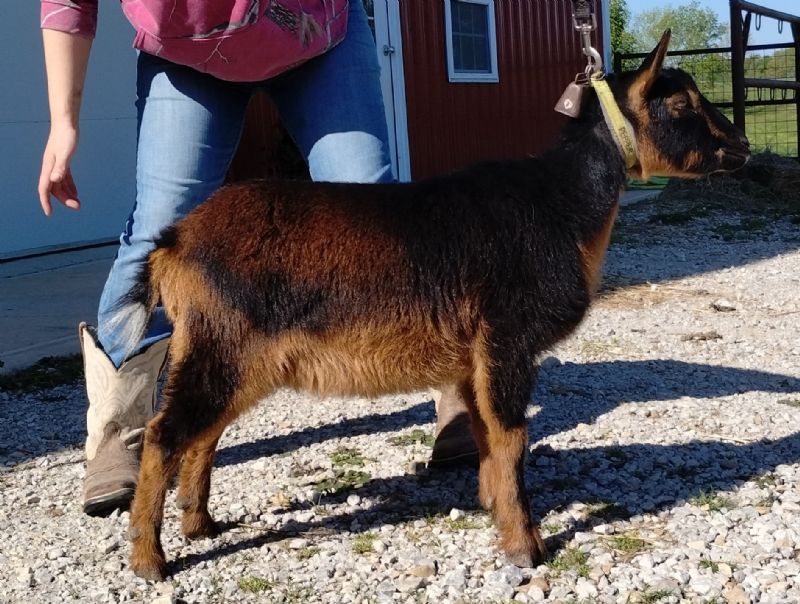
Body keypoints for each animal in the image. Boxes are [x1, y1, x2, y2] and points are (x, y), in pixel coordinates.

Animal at [119, 31, 750, 580]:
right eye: (682, 104)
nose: (743, 147)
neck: (561, 204)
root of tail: (175, 242)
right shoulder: (507, 340)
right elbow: (512, 437)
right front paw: (526, 547)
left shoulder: (476, 359)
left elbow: (487, 436)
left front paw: (493, 509)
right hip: (222, 345)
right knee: (163, 433)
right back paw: (150, 560)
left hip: (233, 355)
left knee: (203, 433)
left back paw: (200, 524)